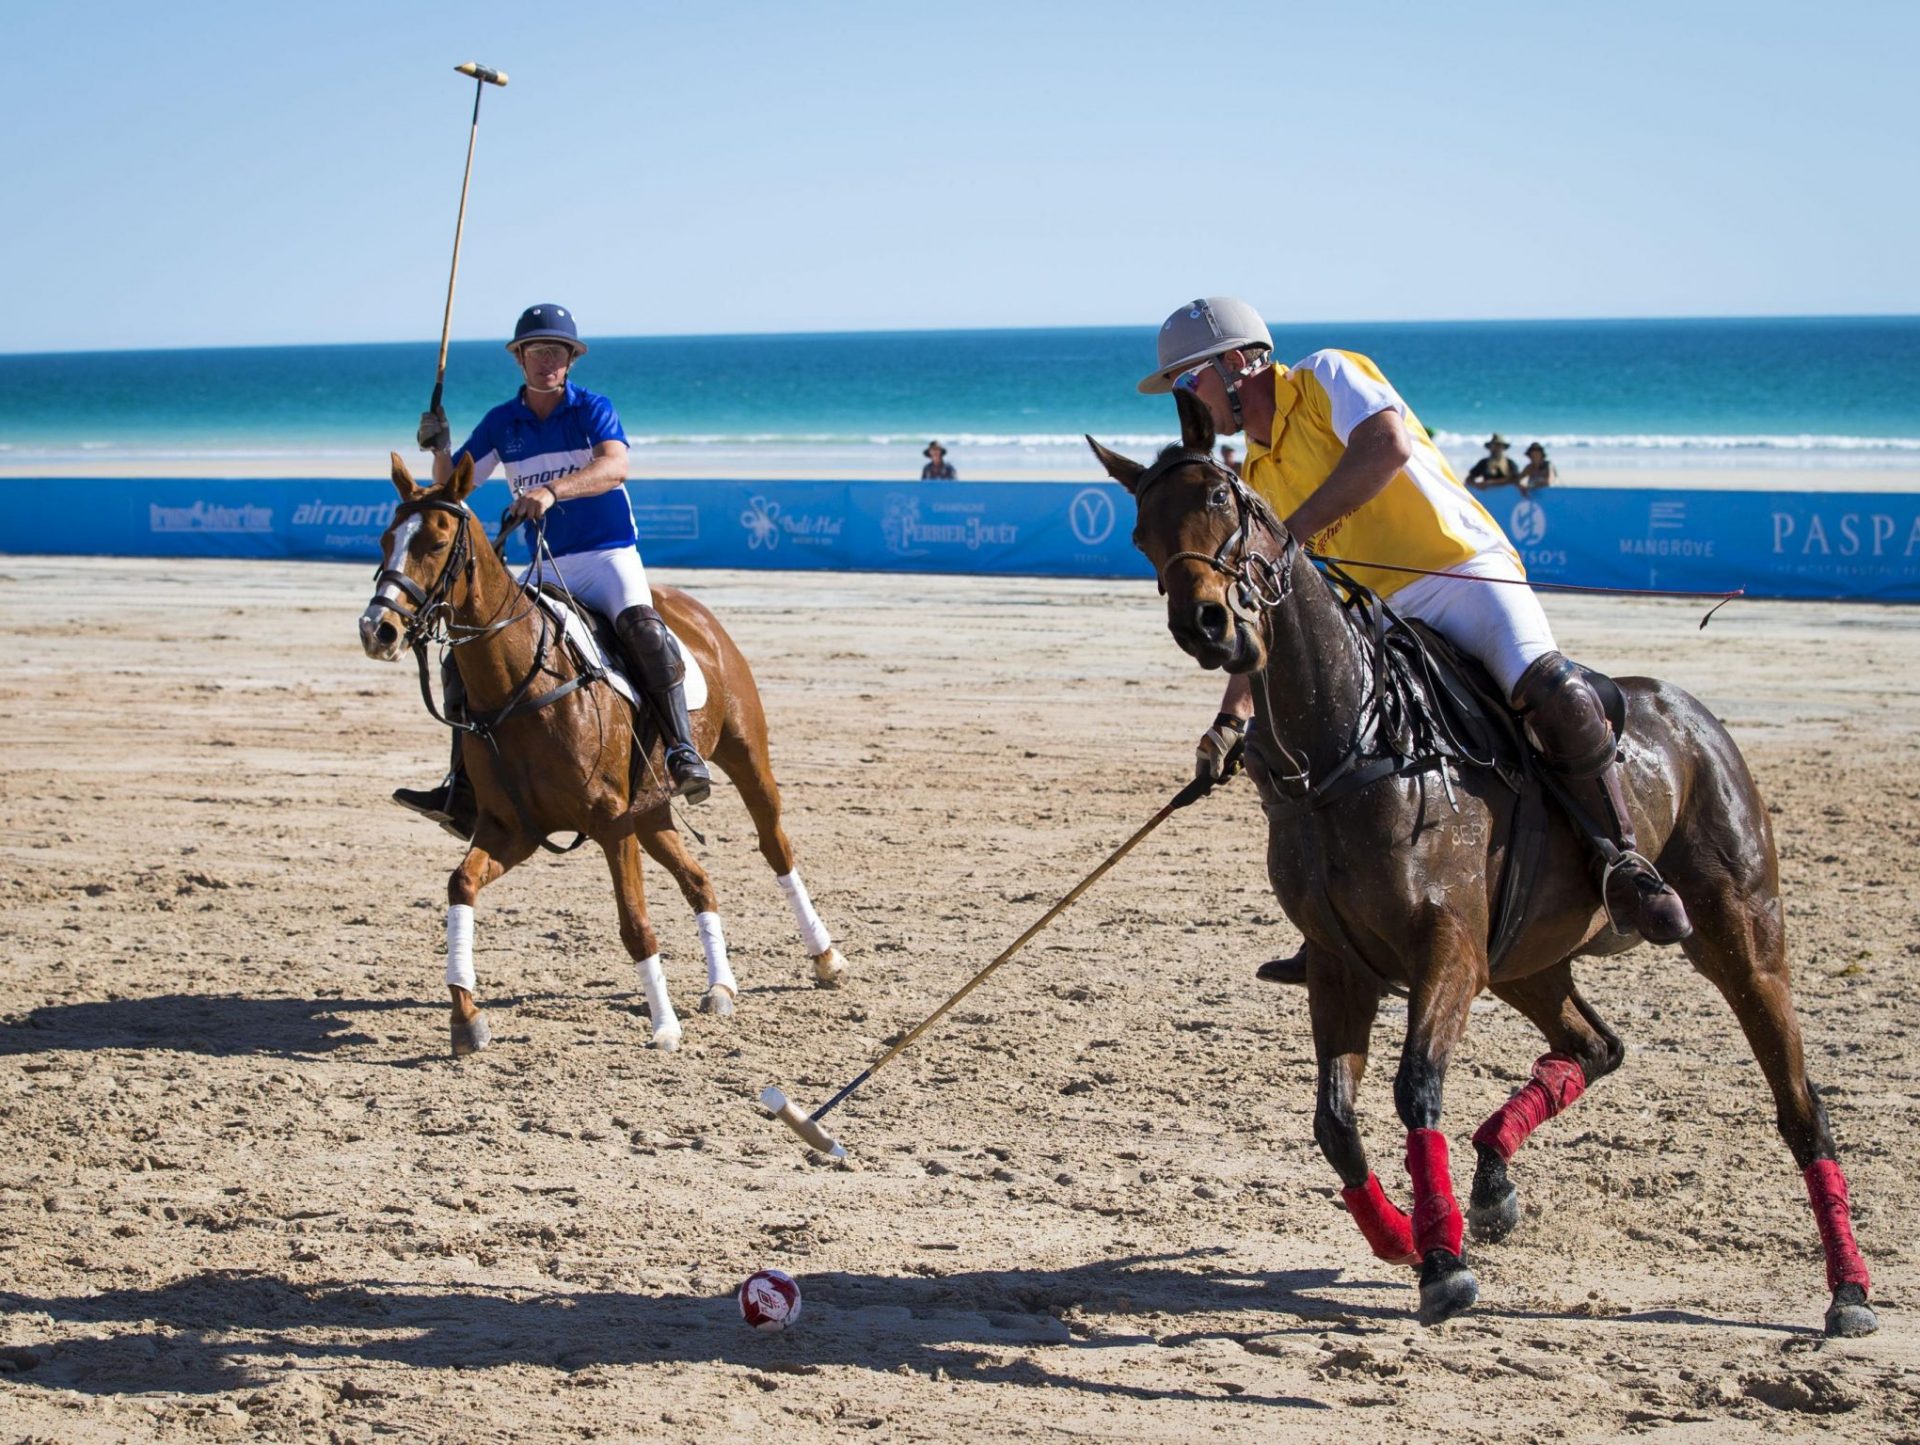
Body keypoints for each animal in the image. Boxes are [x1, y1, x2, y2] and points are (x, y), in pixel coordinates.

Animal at [355, 456, 848, 1051]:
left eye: (436, 541)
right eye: (385, 539)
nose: (377, 629)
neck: (521, 684)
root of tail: (691, 607)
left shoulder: (610, 822)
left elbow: (635, 922)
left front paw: (664, 1027)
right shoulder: (511, 828)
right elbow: (461, 884)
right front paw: (466, 1018)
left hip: (744, 757)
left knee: (775, 846)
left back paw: (825, 957)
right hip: (652, 809)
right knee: (700, 881)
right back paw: (721, 987)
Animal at [1098, 389, 1873, 1335]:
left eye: (1219, 494)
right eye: (1141, 532)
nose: (1208, 623)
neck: (1348, 744)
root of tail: (1695, 714)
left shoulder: (1448, 944)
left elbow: (1414, 1084)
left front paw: (1442, 1264)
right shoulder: (1341, 962)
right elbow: (1334, 1119)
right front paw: (1405, 1237)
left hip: (1737, 932)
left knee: (1800, 1105)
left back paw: (1849, 1289)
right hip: (1526, 956)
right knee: (1597, 1043)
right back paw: (1495, 1177)